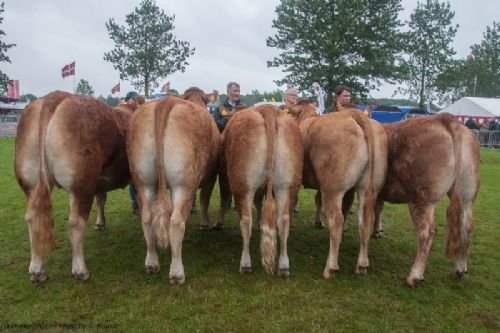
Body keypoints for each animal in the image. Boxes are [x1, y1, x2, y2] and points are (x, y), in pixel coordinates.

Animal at [14, 91, 133, 280]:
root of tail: (55, 96)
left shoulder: (100, 181)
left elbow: (101, 199)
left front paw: (100, 223)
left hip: (30, 182)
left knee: (33, 219)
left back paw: (37, 269)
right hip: (80, 183)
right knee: (76, 223)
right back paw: (80, 270)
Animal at [127, 87, 219, 284]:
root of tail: (166, 102)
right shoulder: (210, 177)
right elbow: (204, 200)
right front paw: (204, 224)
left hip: (144, 180)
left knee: (147, 218)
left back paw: (151, 263)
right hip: (183, 184)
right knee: (176, 221)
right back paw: (177, 272)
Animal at [218, 104, 302, 274]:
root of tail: (268, 109)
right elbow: (259, 205)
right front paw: (260, 223)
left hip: (243, 185)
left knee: (245, 221)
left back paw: (245, 264)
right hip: (286, 186)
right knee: (283, 221)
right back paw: (284, 266)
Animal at [376, 113, 480, 286]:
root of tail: (446, 119)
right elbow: (378, 208)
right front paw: (376, 230)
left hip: (421, 199)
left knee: (426, 232)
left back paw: (415, 275)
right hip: (467, 194)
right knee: (466, 227)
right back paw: (460, 268)